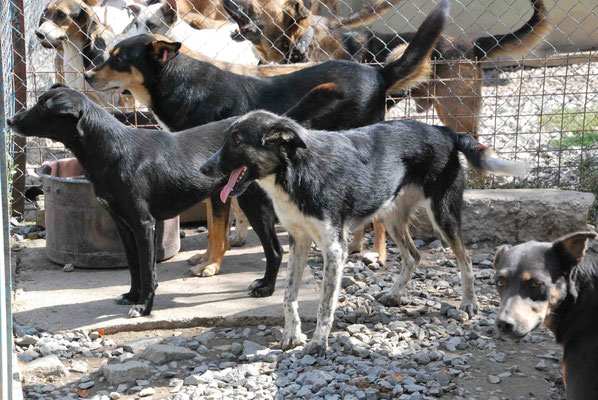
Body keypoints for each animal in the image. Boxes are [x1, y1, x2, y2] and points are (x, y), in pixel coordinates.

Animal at [84, 0, 450, 296]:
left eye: (119, 59)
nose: (87, 75)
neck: (180, 83)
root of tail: (379, 73)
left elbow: (217, 227)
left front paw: (211, 265)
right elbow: (213, 221)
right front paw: (207, 257)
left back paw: (378, 253)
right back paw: (358, 245)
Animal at [202, 109, 528, 354]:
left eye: (236, 140)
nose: (204, 169)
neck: (294, 171)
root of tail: (443, 130)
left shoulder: (335, 248)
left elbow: (325, 305)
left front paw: (319, 343)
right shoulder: (299, 240)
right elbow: (288, 295)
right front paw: (292, 335)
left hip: (442, 214)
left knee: (465, 258)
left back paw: (469, 303)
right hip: (391, 214)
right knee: (414, 255)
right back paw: (395, 295)